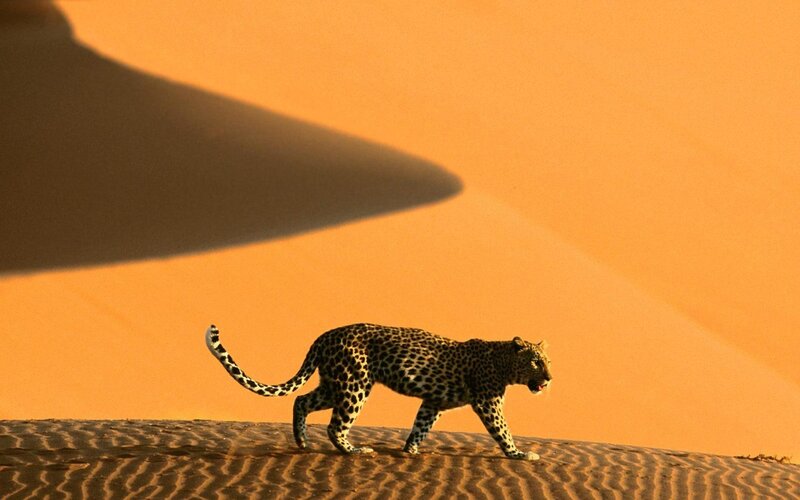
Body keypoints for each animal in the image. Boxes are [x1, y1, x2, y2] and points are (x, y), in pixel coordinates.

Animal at [205, 322, 552, 460]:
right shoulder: (488, 402)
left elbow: (421, 425)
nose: (549, 379)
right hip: (354, 386)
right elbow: (502, 430)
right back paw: (355, 450)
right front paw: (519, 454)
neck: (504, 363)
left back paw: (302, 442)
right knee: (335, 425)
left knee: (301, 401)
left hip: (334, 384)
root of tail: (323, 336)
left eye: (548, 361)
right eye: (536, 362)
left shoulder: (434, 401)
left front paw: (410, 450)